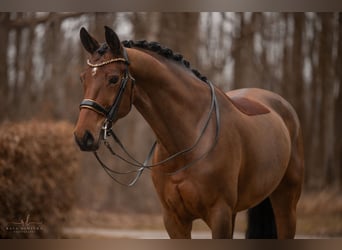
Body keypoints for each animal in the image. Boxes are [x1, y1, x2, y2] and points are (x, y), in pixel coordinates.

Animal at [73, 26, 304, 239]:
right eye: (83, 78)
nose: (83, 136)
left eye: (113, 79)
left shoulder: (219, 214)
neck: (188, 141)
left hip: (285, 205)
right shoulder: (174, 220)